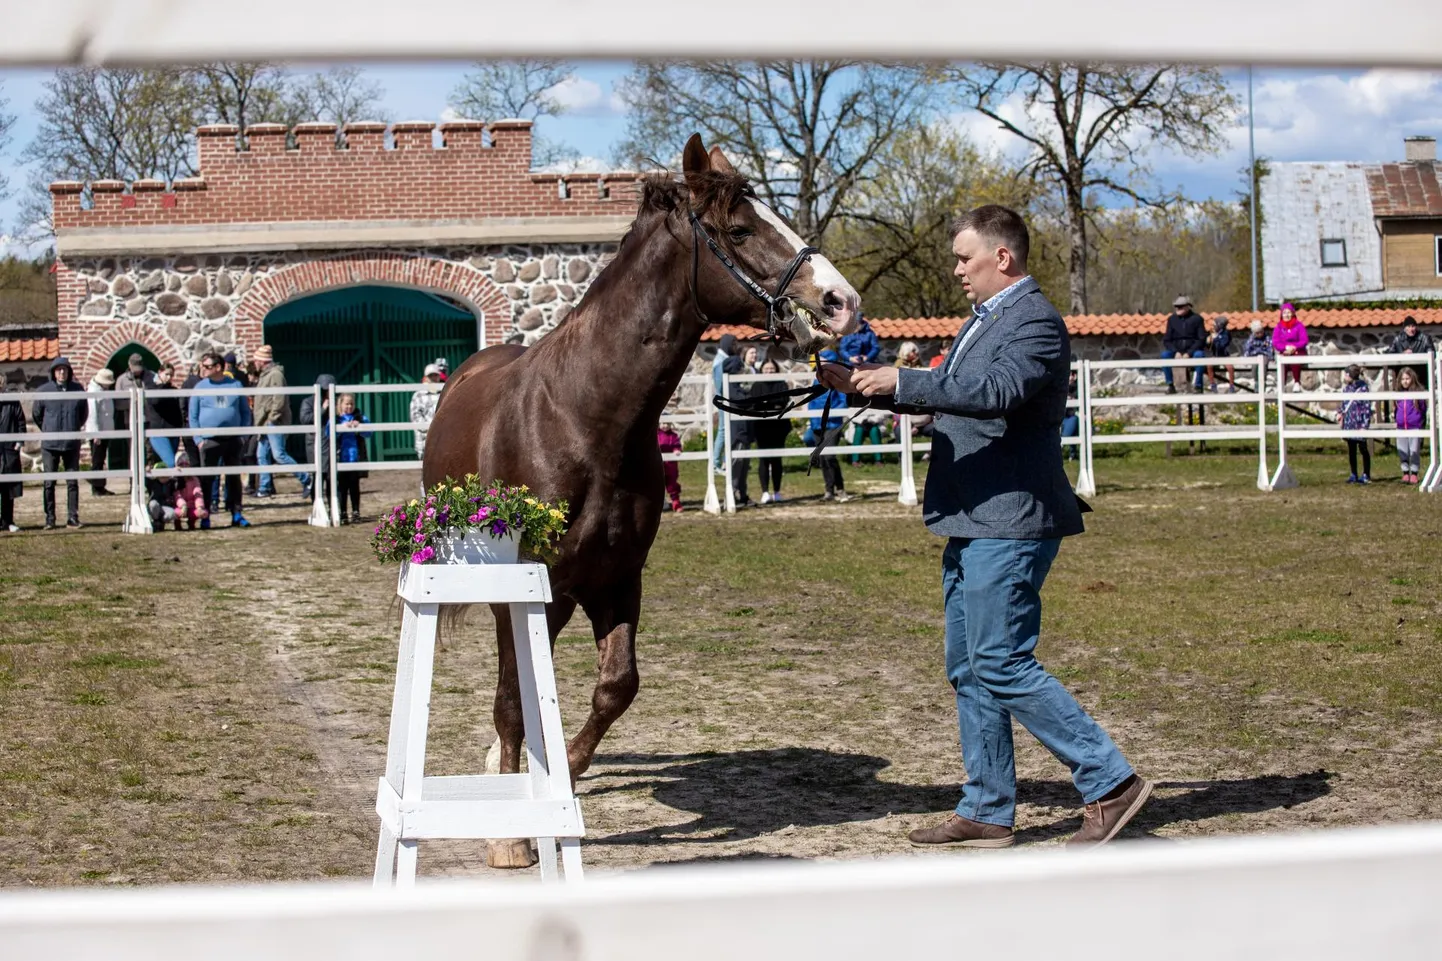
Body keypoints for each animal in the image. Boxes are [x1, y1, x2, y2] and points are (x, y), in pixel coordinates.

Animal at [421, 136, 859, 865]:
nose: (839, 301)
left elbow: (614, 687)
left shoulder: (619, 578)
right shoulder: (530, 583)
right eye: (740, 229)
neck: (585, 418)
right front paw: (511, 836)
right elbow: (514, 698)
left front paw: (564, 774)